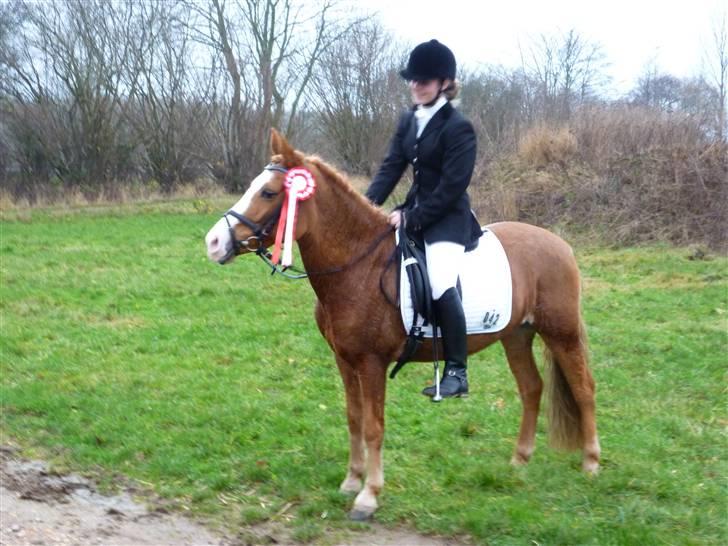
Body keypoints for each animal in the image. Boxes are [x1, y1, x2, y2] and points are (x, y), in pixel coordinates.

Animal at [204, 129, 600, 520]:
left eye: (270, 193)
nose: (213, 242)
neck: (359, 266)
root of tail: (559, 243)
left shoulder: (372, 363)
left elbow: (373, 426)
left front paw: (369, 496)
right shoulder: (344, 360)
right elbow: (354, 418)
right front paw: (352, 480)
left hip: (561, 333)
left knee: (583, 390)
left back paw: (591, 463)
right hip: (516, 335)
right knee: (532, 389)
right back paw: (519, 460)